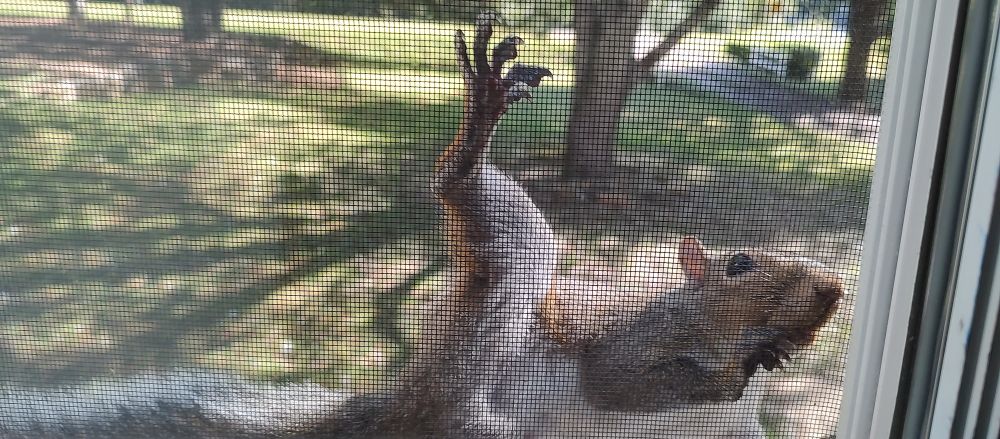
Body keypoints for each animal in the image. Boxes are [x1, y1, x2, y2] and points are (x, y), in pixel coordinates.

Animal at [0, 12, 844, 439]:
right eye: (739, 264)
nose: (835, 288)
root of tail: (409, 399)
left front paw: (772, 358)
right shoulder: (636, 338)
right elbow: (622, 377)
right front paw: (736, 365)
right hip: (498, 318)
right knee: (472, 208)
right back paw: (475, 133)